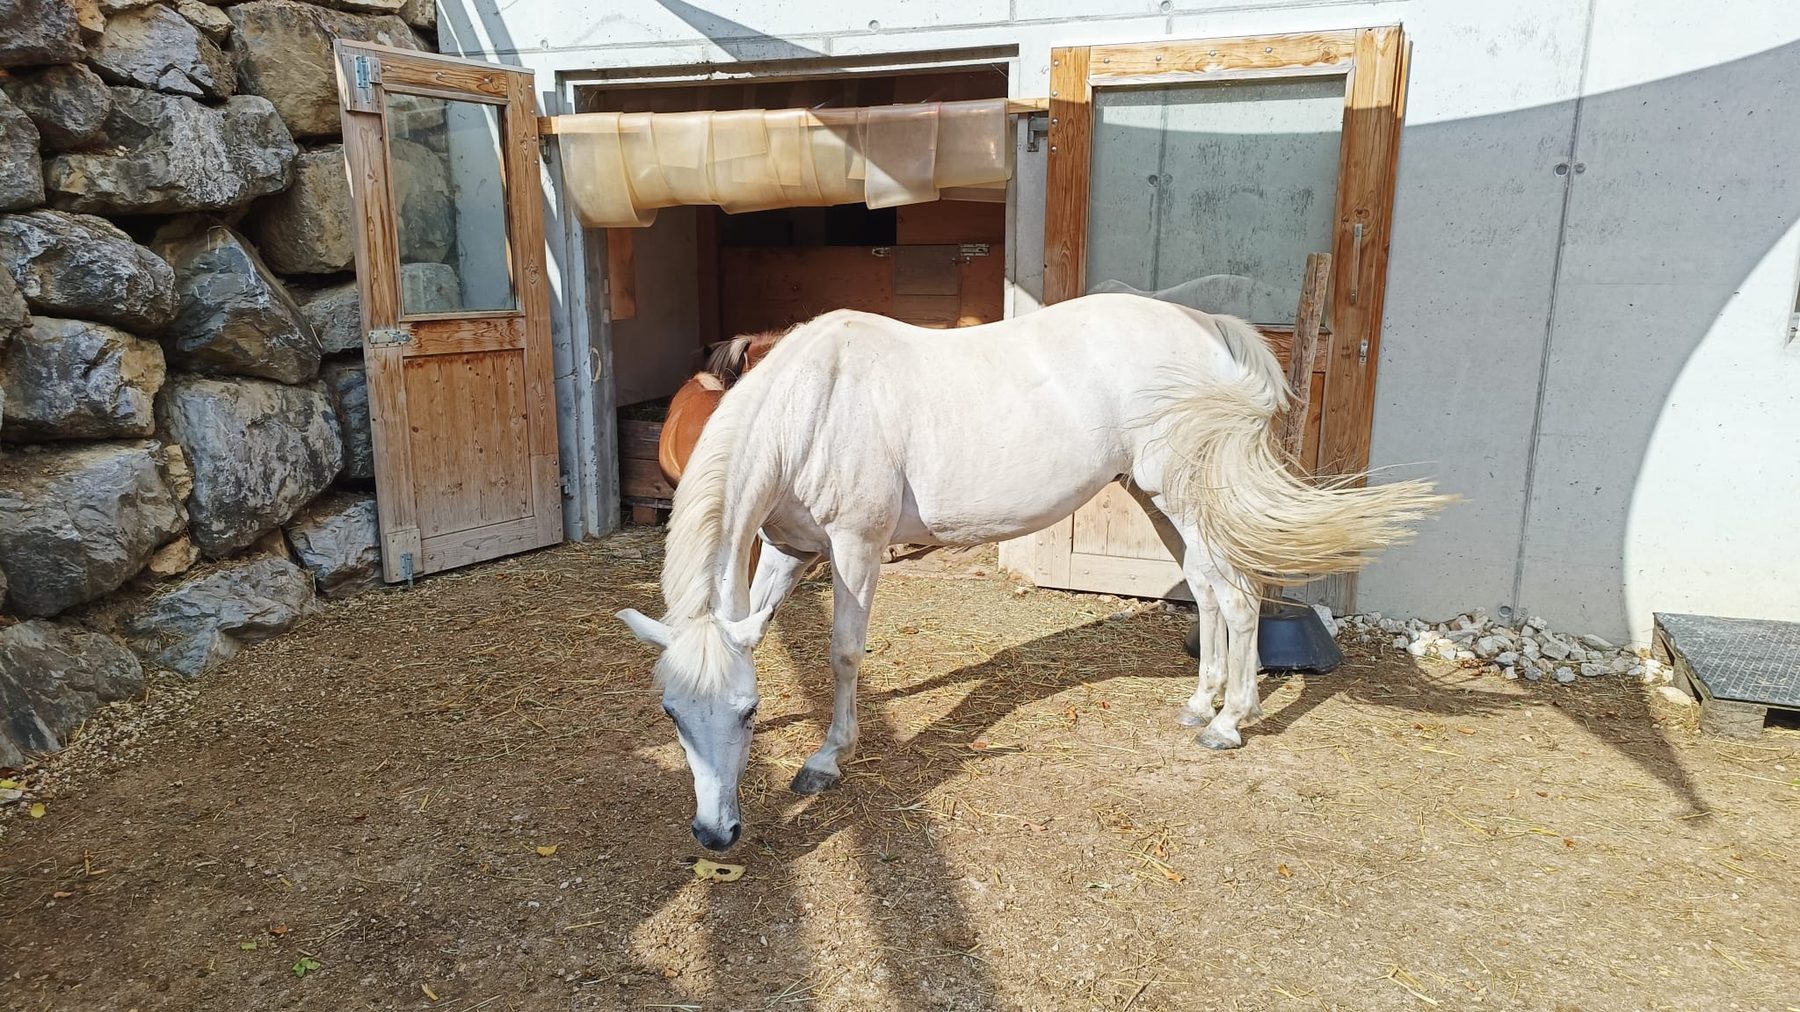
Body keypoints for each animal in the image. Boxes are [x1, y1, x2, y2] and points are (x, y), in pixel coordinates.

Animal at [617, 293, 1449, 852]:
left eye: (747, 713)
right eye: (672, 715)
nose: (715, 833)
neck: (814, 404)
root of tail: (1204, 326)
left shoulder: (855, 546)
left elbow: (845, 654)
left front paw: (827, 759)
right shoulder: (790, 548)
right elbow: (756, 630)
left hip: (1188, 494)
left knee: (1240, 597)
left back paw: (1230, 722)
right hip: (1157, 499)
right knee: (1210, 591)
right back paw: (1199, 704)